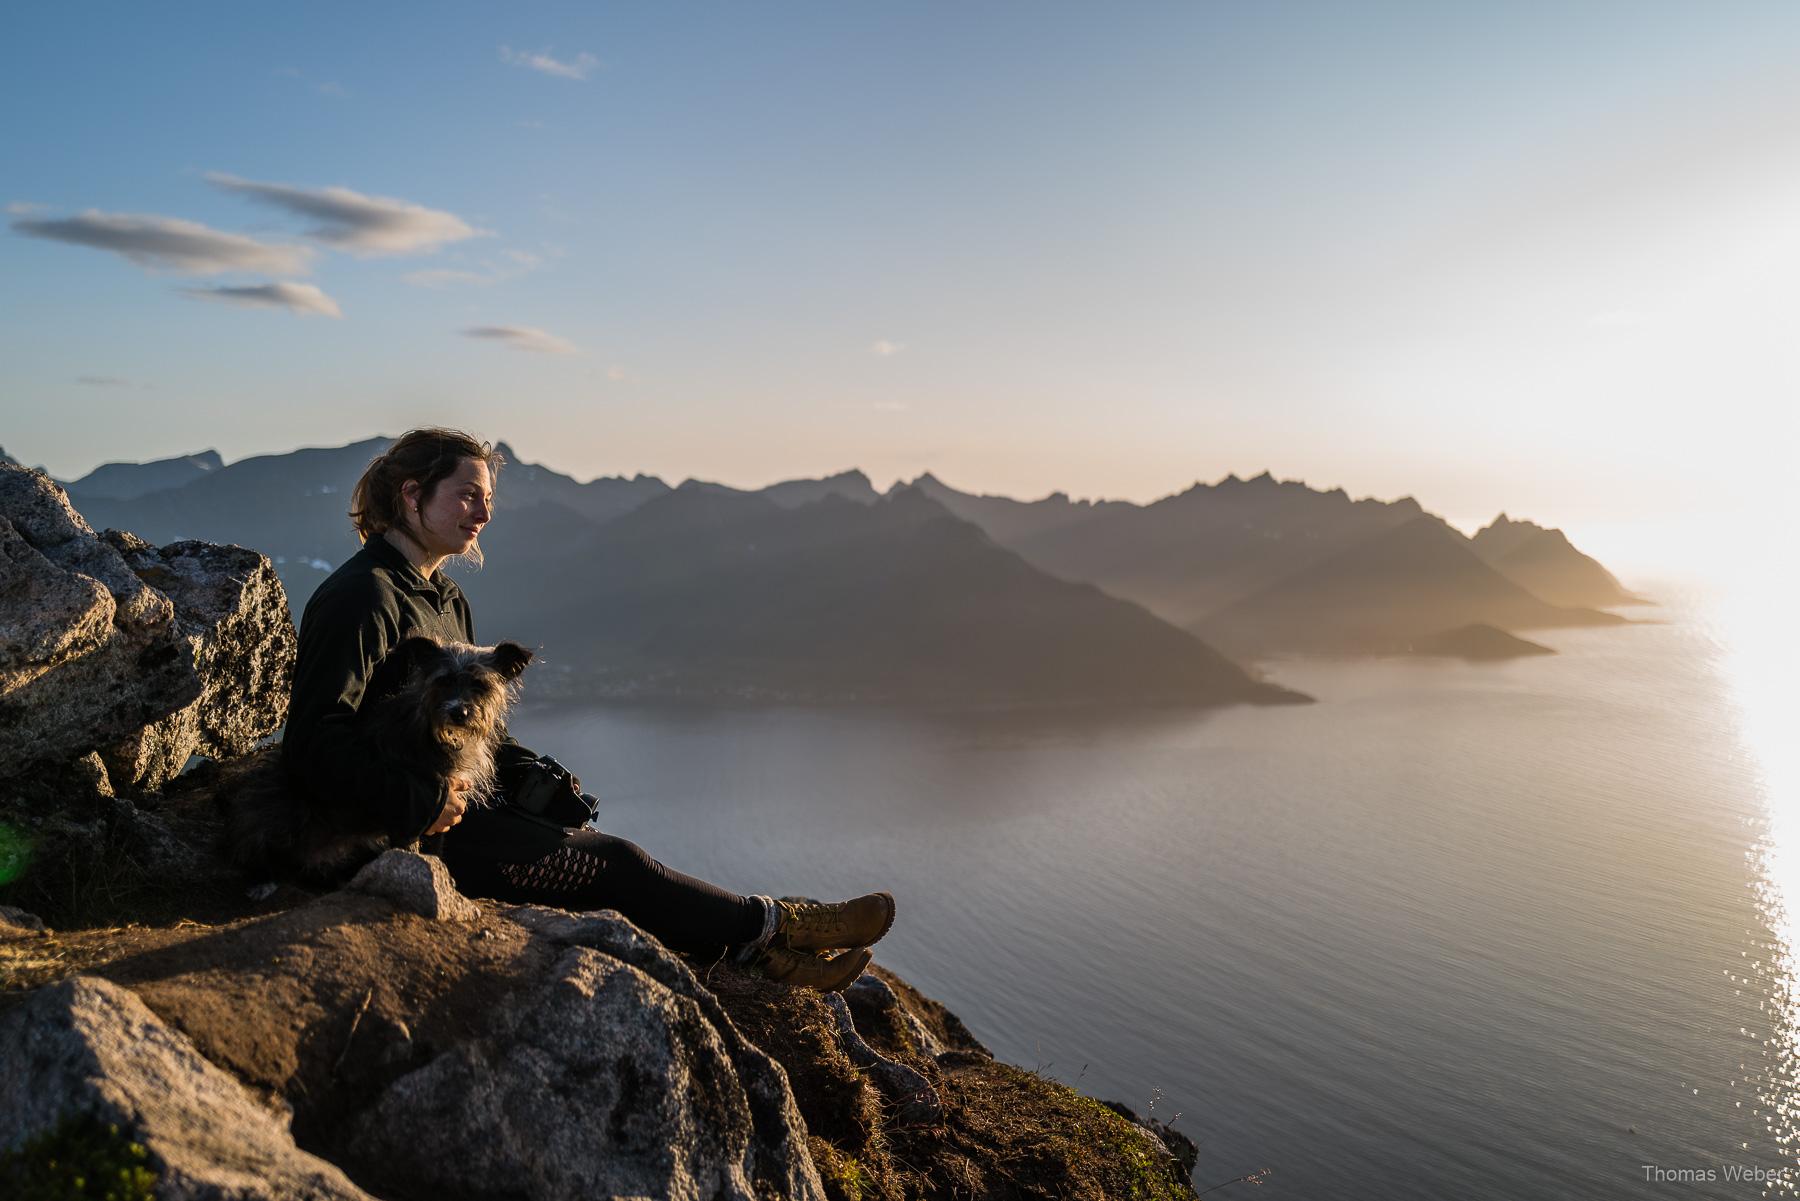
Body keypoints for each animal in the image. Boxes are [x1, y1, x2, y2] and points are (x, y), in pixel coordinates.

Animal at [221, 637, 529, 882]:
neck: (438, 732)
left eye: (479, 684)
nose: (458, 712)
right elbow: (412, 845)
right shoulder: (422, 806)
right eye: (444, 680)